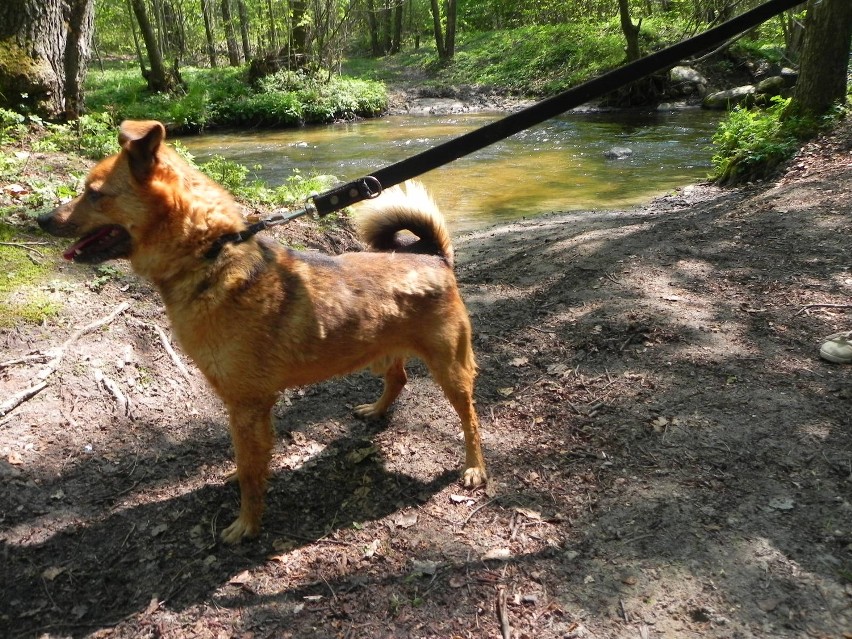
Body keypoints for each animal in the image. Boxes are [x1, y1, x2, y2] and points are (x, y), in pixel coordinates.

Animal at [38, 121, 486, 544]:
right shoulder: (242, 408)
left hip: (451, 370)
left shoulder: (249, 406)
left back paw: (474, 468)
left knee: (470, 418)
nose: (40, 219)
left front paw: (248, 524)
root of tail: (434, 258)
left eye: (94, 193)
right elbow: (245, 463)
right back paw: (376, 411)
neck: (209, 255)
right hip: (379, 352)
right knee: (398, 377)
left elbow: (253, 473)